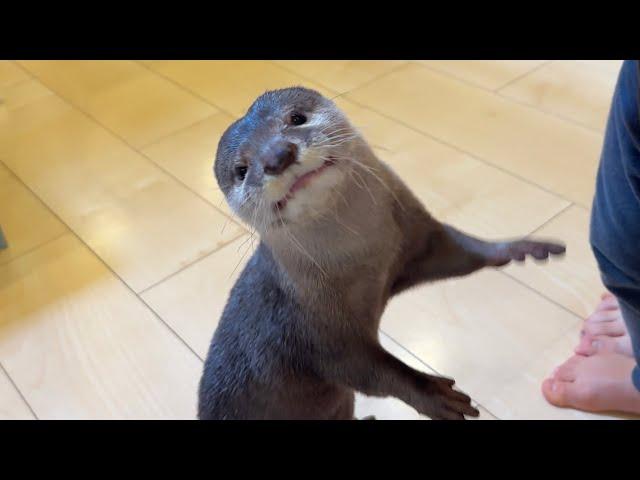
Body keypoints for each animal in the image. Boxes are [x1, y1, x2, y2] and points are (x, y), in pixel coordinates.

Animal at [199, 87, 564, 420]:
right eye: (241, 170)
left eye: (296, 118)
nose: (277, 155)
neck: (364, 258)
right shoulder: (313, 334)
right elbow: (375, 372)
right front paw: (435, 395)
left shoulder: (414, 242)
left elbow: (463, 252)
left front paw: (520, 248)